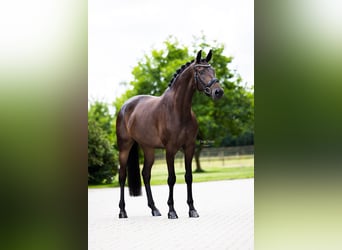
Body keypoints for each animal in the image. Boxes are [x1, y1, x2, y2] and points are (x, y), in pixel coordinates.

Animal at [116, 50, 223, 219]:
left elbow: (188, 176)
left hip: (148, 148)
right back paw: (122, 211)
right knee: (122, 176)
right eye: (200, 71)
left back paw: (154, 209)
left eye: (213, 70)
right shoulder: (170, 149)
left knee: (146, 174)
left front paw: (192, 209)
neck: (178, 110)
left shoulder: (189, 148)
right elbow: (171, 178)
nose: (218, 92)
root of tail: (125, 107)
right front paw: (172, 211)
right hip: (124, 148)